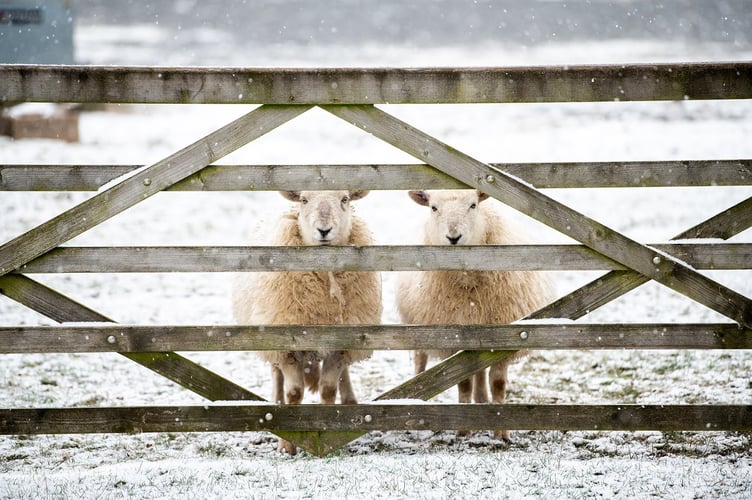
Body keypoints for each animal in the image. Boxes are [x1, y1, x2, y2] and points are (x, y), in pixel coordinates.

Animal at [231, 189, 382, 456]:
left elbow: (328, 390)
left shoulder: (340, 344)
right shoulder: (286, 345)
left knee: (344, 375)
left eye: (345, 199)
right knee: (277, 378)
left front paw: (331, 433)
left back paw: (350, 402)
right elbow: (294, 393)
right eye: (303, 200)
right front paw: (287, 444)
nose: (324, 230)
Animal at [396, 188, 556, 442]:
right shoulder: (454, 338)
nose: (453, 237)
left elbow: (498, 383)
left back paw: (481, 403)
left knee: (479, 371)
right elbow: (463, 384)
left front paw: (501, 433)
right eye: (433, 207)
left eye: (473, 205)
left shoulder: (504, 336)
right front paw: (464, 431)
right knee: (420, 362)